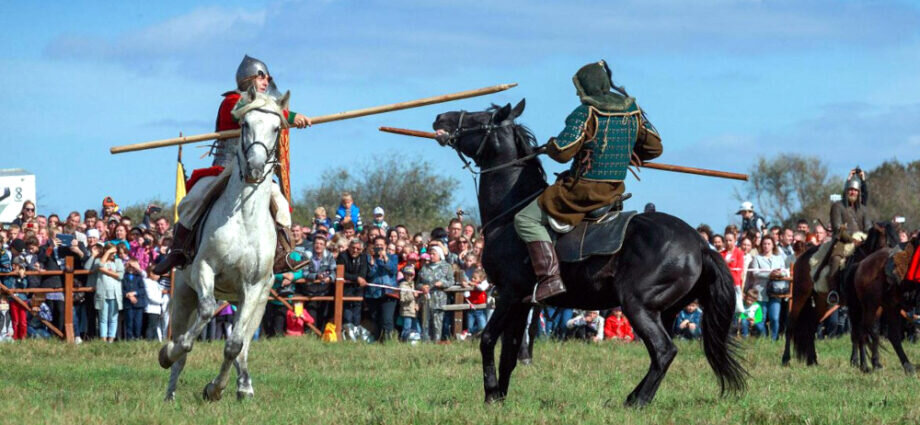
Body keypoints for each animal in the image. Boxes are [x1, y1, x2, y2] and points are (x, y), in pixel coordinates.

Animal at [158, 88, 288, 400]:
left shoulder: (254, 288)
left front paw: (216, 388)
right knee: (181, 346)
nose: (255, 167)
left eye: (276, 128)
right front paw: (169, 352)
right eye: (245, 125)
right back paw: (170, 391)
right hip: (183, 293)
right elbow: (198, 324)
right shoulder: (204, 269)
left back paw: (244, 385)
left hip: (257, 301)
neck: (245, 218)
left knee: (243, 346)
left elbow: (234, 345)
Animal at [434, 100, 748, 408]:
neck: (509, 214)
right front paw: (500, 396)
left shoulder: (509, 293)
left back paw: (637, 401)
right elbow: (509, 352)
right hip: (665, 310)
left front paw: (490, 395)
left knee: (663, 350)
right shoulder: (522, 301)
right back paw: (633, 396)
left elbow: (488, 339)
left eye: (479, 120)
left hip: (637, 305)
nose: (440, 118)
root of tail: (699, 244)